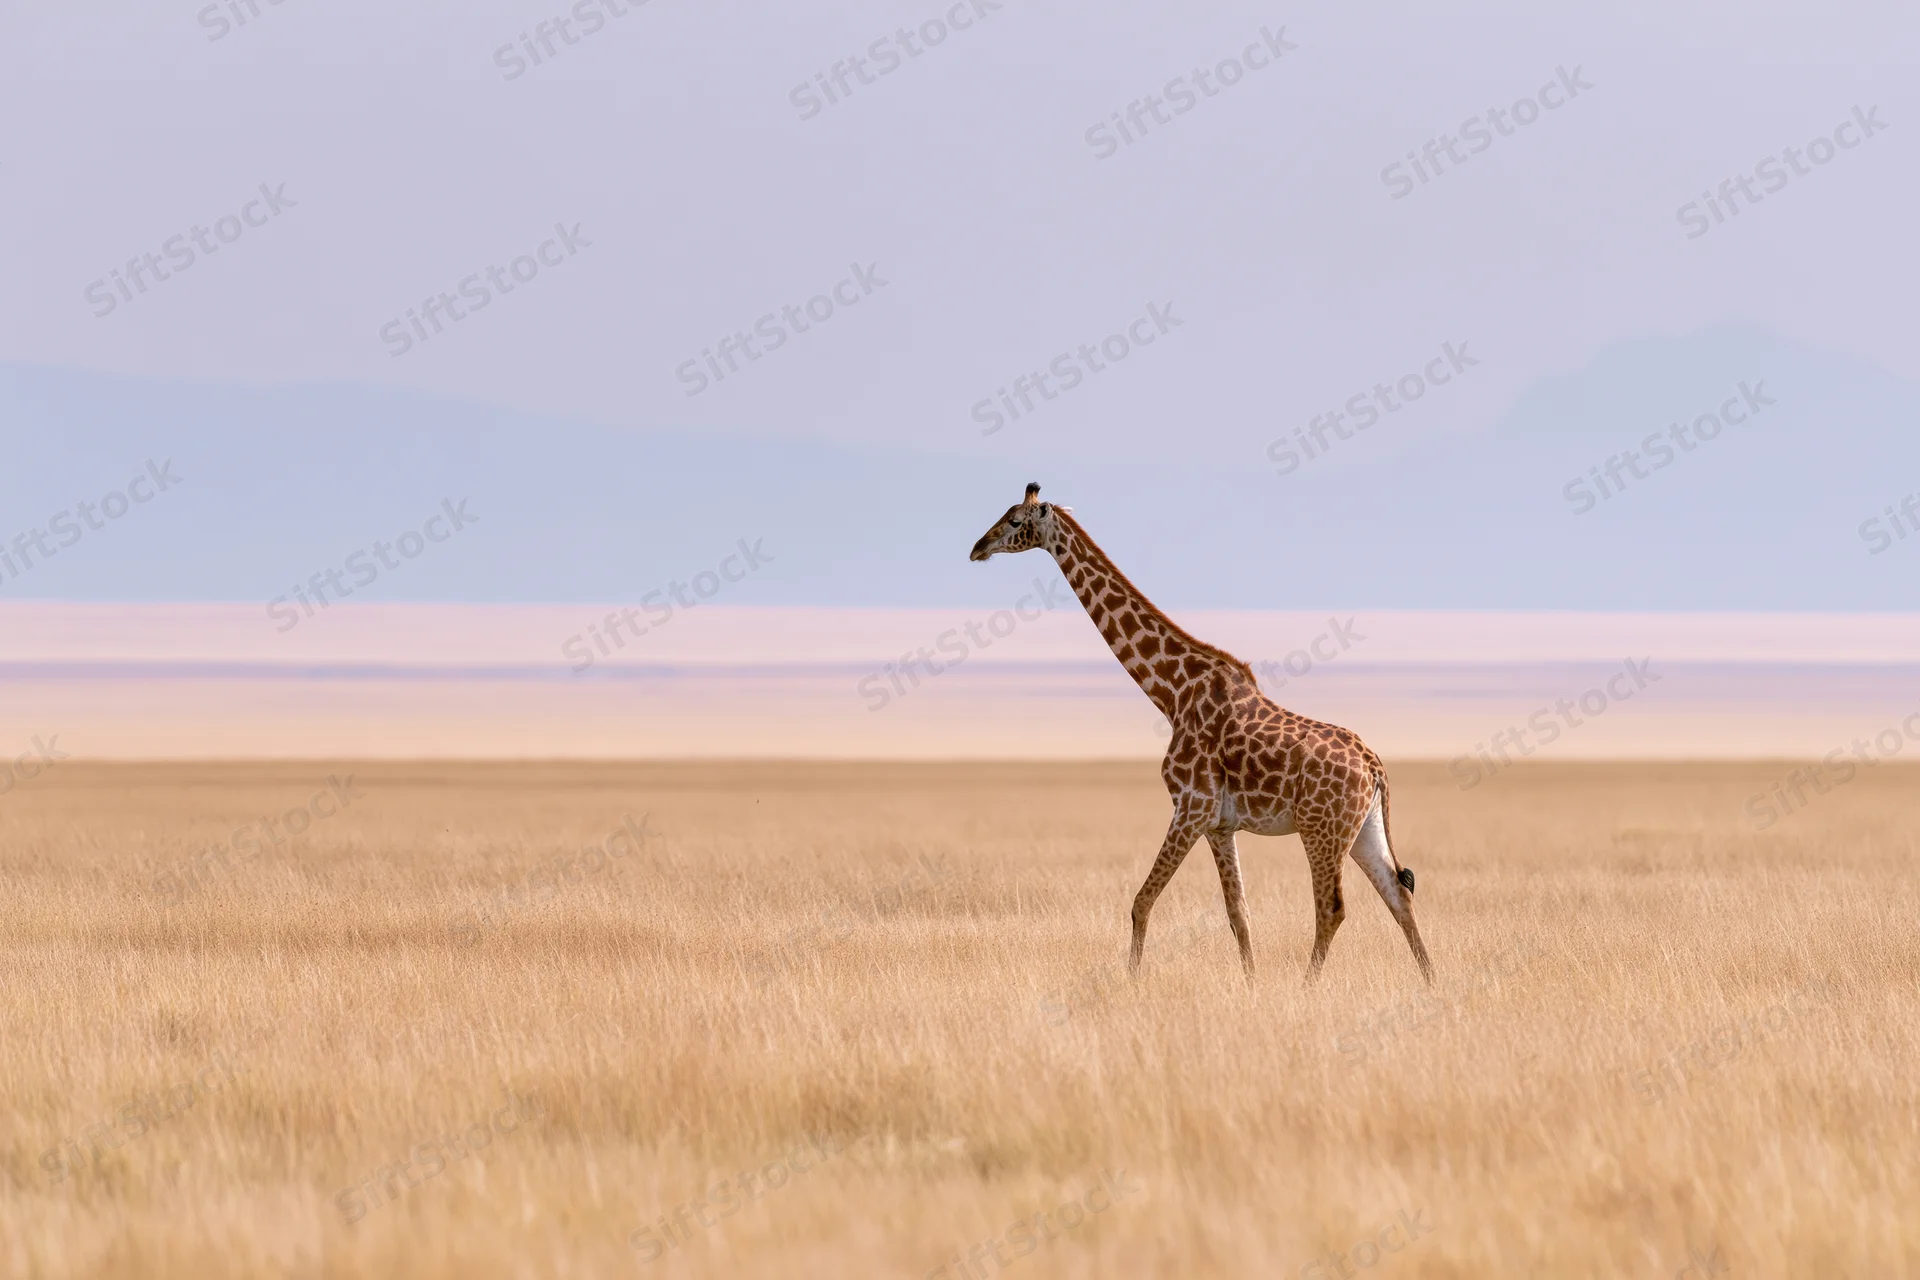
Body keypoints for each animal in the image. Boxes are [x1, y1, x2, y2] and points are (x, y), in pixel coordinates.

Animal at [970, 484, 1433, 985]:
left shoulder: (1190, 806)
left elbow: (1141, 901)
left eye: (1016, 521)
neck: (1172, 692)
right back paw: (1430, 982)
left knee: (1332, 908)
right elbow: (1238, 914)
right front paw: (1251, 985)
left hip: (1321, 830)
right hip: (1363, 830)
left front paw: (1132, 981)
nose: (977, 548)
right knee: (1399, 895)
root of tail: (1375, 766)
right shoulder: (1218, 824)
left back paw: (1309, 987)